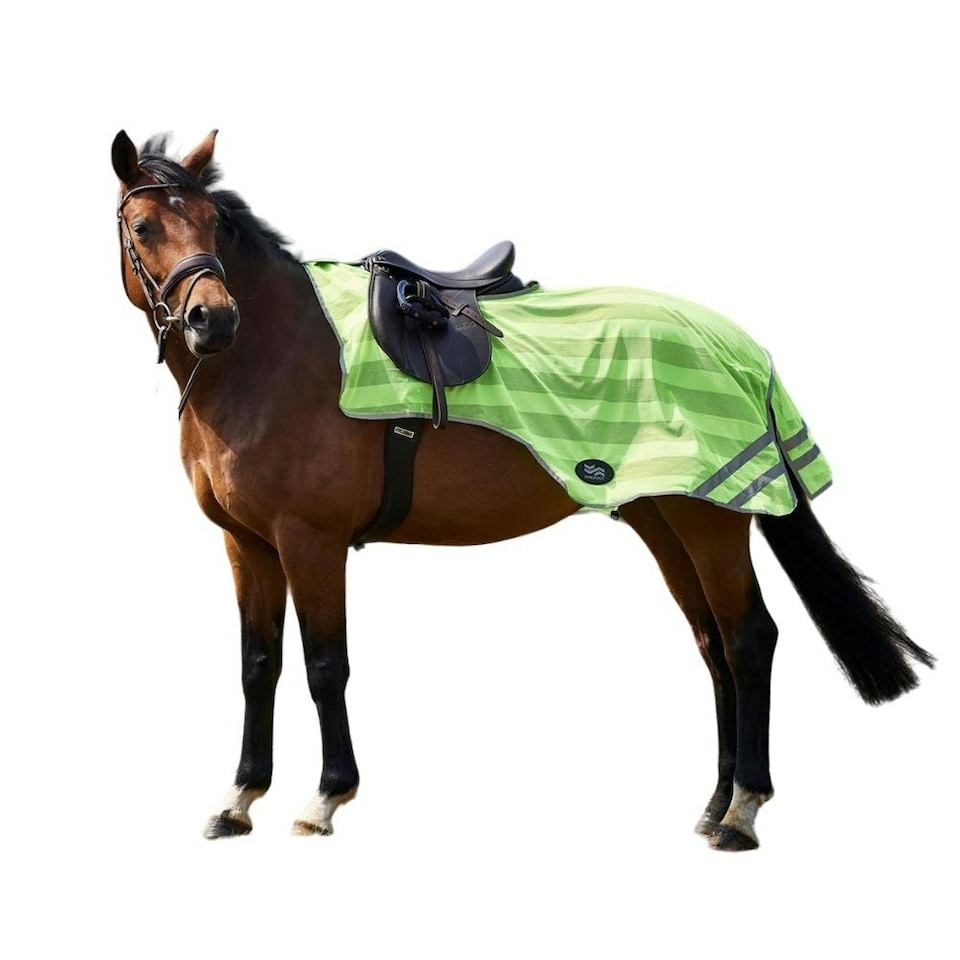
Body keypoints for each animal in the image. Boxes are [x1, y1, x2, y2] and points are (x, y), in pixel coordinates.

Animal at [111, 129, 934, 851]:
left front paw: (324, 799)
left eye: (215, 223)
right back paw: (713, 805)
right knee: (712, 646)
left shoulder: (311, 542)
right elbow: (258, 666)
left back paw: (742, 813)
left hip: (710, 522)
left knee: (748, 639)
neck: (276, 361)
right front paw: (238, 799)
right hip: (665, 521)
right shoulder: (247, 544)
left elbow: (324, 667)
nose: (212, 320)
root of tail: (743, 351)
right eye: (143, 226)